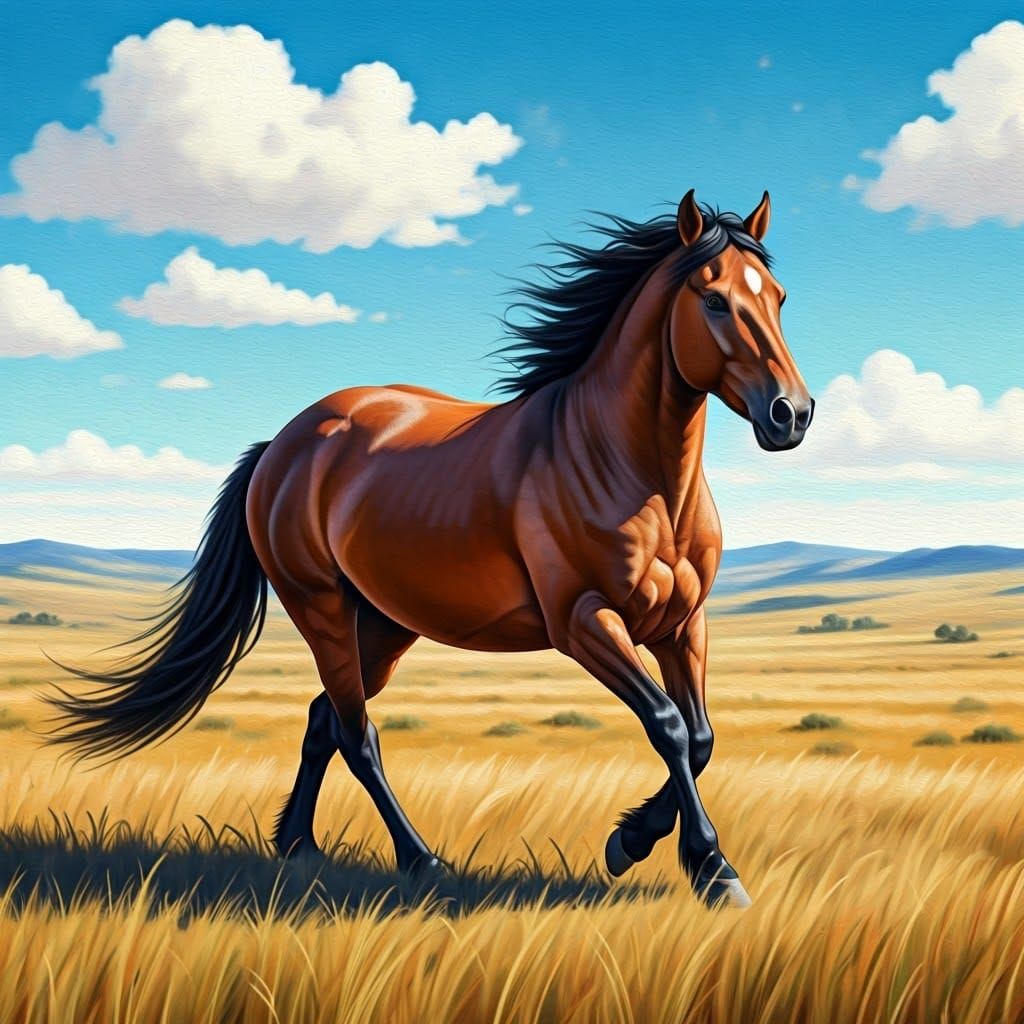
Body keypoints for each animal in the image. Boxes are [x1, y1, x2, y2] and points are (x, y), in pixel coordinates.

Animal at [47, 190, 813, 908]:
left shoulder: (683, 623)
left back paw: (298, 847)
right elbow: (668, 726)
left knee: (324, 719)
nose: (792, 415)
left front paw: (639, 843)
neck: (625, 468)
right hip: (322, 608)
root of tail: (286, 443)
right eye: (713, 300)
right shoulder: (585, 622)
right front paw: (708, 867)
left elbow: (702, 737)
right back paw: (421, 862)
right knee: (356, 734)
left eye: (777, 297)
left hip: (386, 623)